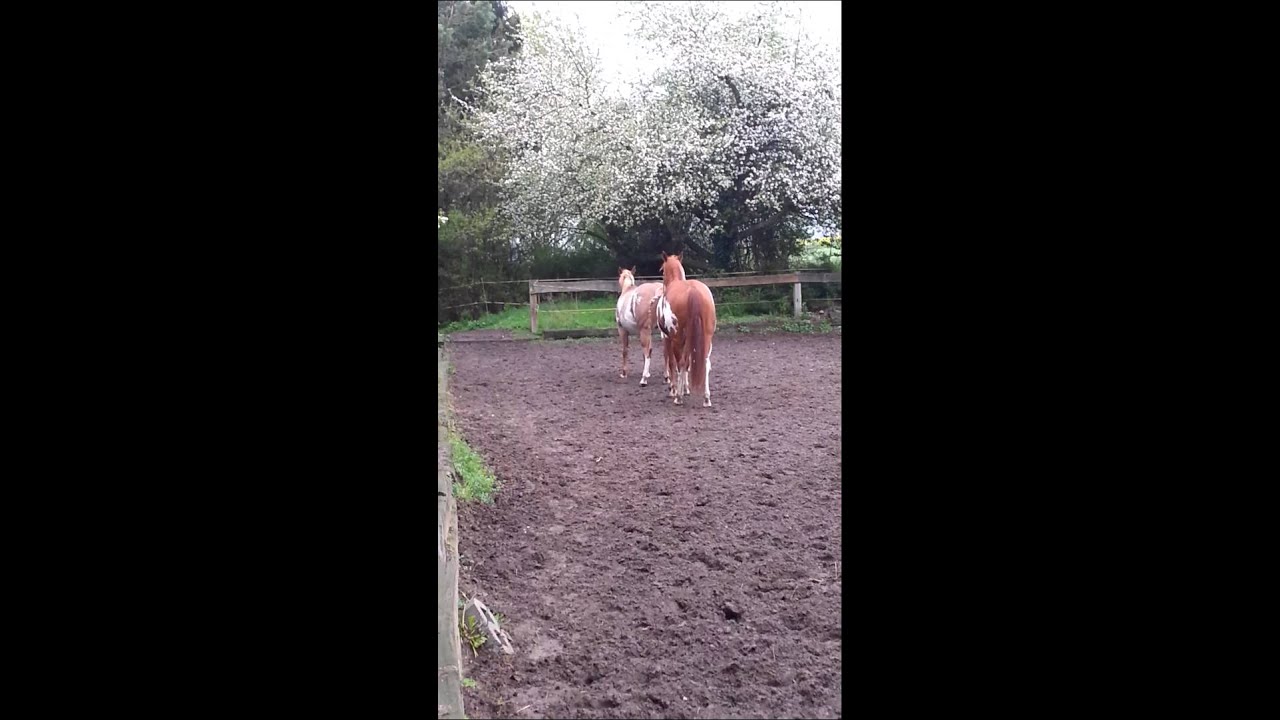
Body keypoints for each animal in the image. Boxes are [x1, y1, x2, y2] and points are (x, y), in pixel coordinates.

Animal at [659, 253, 717, 407]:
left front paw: (674, 390)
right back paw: (706, 398)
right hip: (706, 338)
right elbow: (689, 364)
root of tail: (694, 291)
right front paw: (686, 389)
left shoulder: (669, 338)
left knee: (680, 363)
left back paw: (678, 398)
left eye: (662, 270)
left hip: (677, 339)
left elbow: (674, 364)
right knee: (705, 362)